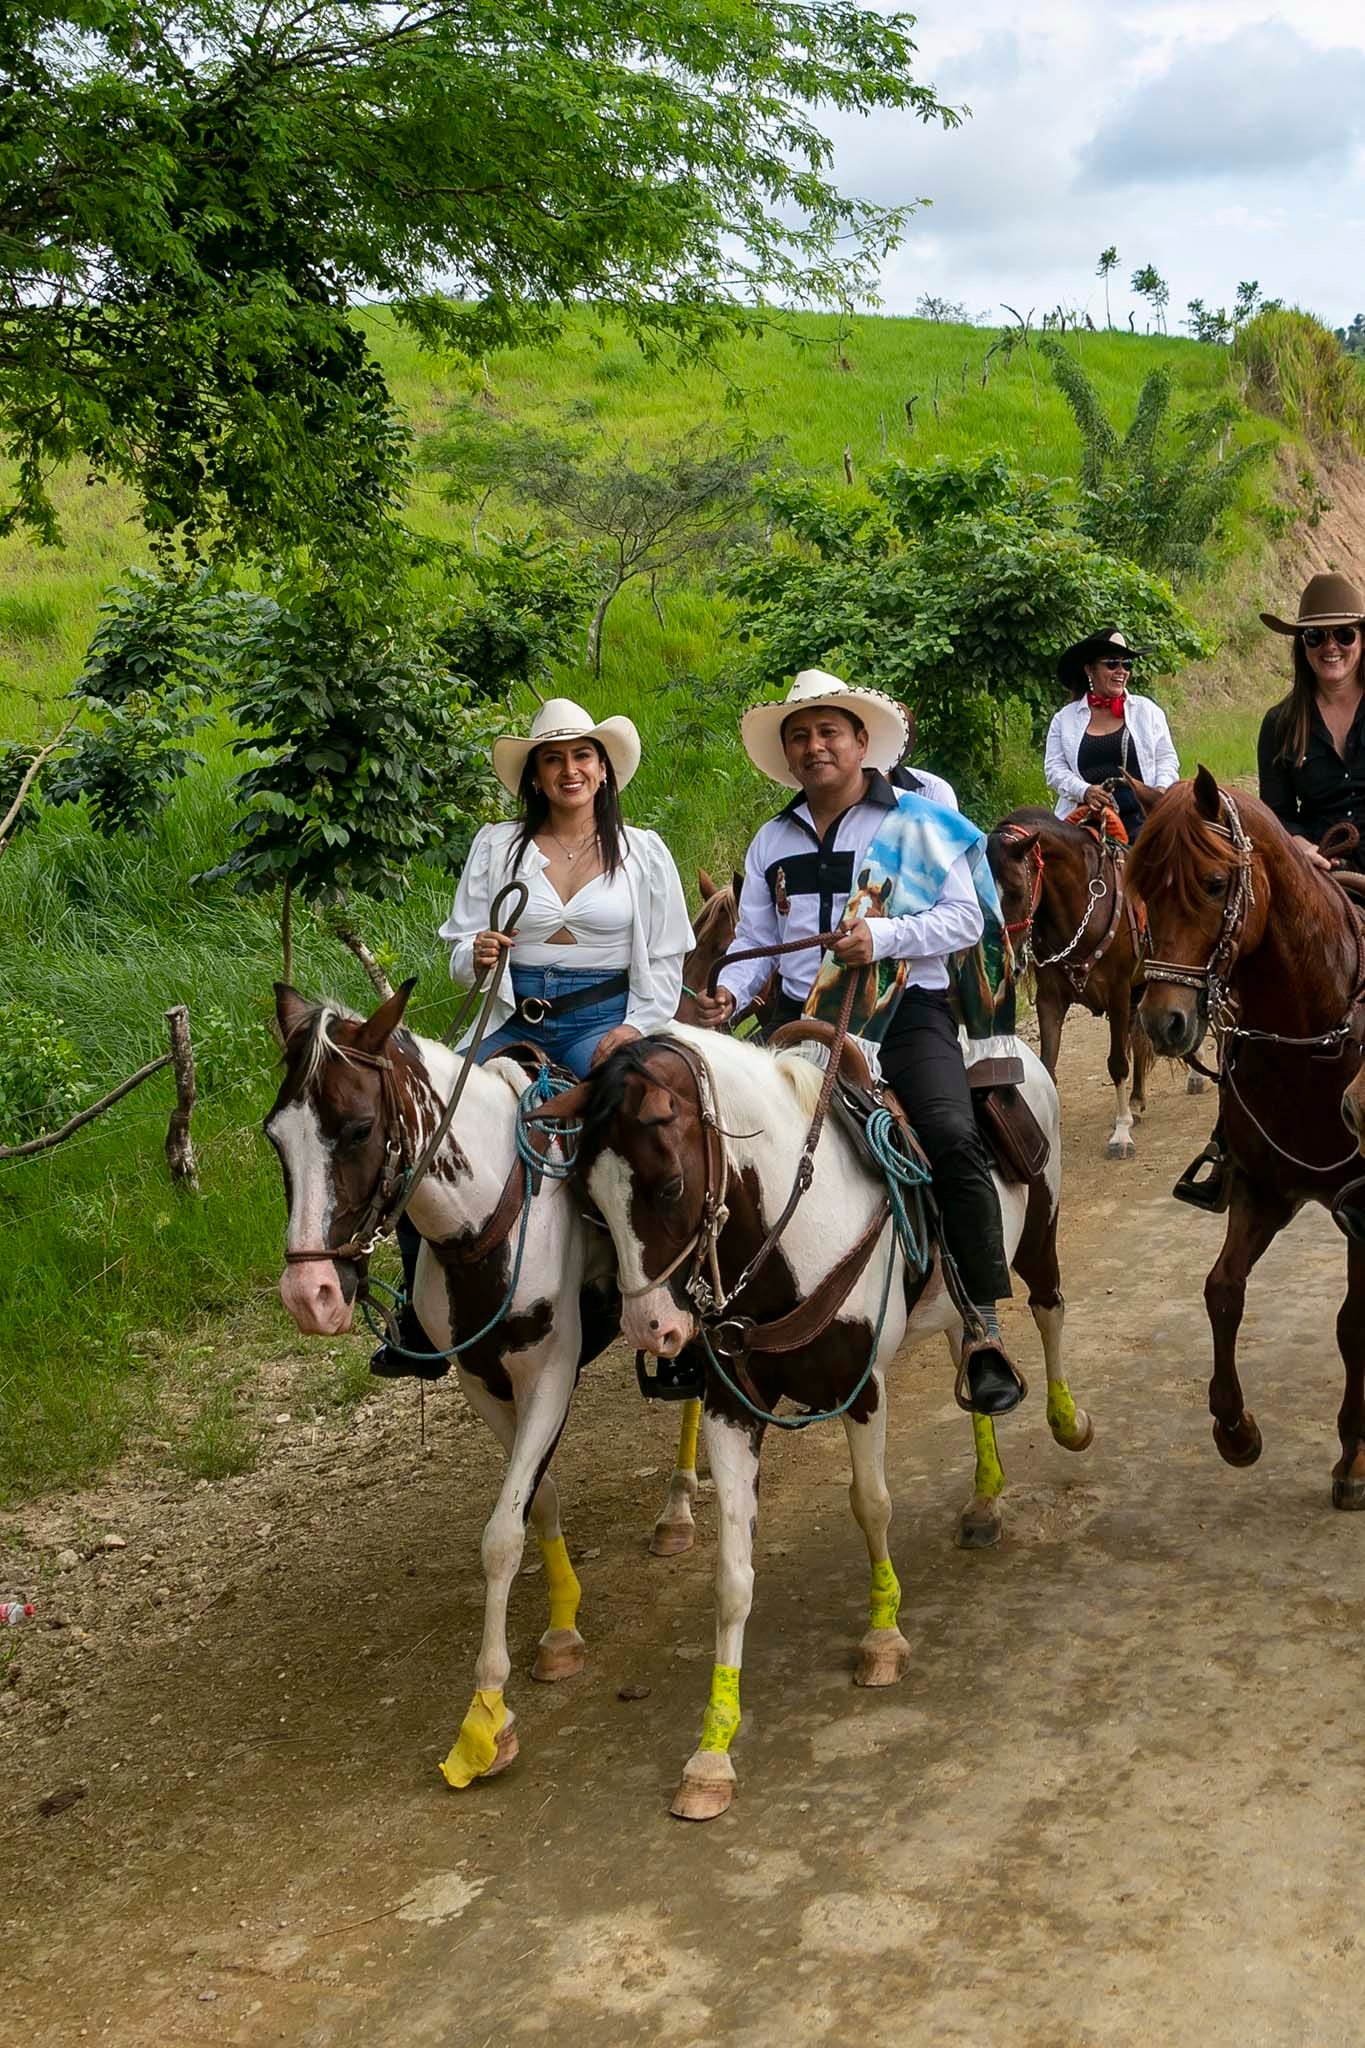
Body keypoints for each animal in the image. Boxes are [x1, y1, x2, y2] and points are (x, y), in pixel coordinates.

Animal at [263, 979, 703, 1791]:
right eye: (276, 1137)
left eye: (359, 1128)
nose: (310, 1295)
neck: (482, 1222)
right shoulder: (481, 1382)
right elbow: (536, 1500)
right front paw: (561, 1627)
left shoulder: (551, 1371)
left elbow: (501, 1536)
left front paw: (484, 1719)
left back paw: (680, 1507)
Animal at [540, 1021, 1090, 1820]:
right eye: (589, 1202)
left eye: (669, 1185)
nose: (653, 1333)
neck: (783, 1238)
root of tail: (1006, 1045)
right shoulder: (731, 1411)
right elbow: (732, 1574)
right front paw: (712, 1752)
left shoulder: (860, 1386)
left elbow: (872, 1505)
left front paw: (883, 1639)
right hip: (954, 1302)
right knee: (971, 1341)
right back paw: (985, 1501)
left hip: (1038, 1233)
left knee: (1048, 1311)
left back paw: (1068, 1423)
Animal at [989, 805, 1162, 1160]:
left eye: (1016, 891)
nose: (1009, 962)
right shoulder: (1051, 999)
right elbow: (1048, 1066)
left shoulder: (1118, 991)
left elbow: (1117, 1063)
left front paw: (1121, 1134)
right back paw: (1137, 1100)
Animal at [1129, 770, 1365, 1504]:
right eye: (1141, 889)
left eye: (1211, 883)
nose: (1164, 1023)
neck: (1310, 1039)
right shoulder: (1263, 1189)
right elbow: (1221, 1290)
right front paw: (1234, 1428)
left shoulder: (1361, 1210)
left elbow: (1352, 1320)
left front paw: (1353, 1456)